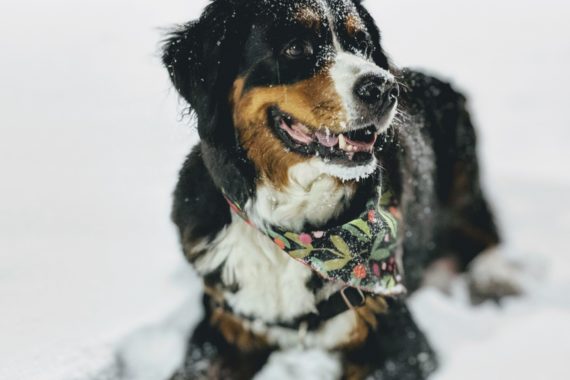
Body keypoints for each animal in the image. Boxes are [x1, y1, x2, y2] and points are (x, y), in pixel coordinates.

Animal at [159, 1, 506, 378]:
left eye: (362, 44)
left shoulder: (402, 342)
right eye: (296, 47)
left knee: (485, 235)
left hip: (463, 178)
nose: (383, 89)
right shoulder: (223, 326)